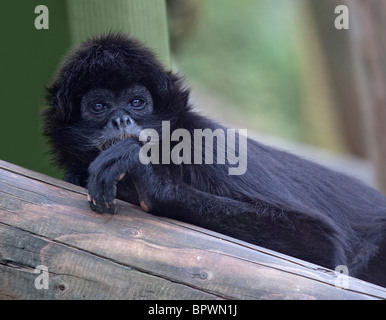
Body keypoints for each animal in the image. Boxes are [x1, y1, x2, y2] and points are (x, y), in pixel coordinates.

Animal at [43, 33, 386, 288]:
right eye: (99, 106)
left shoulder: (204, 144)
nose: (120, 120)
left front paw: (149, 179)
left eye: (136, 102)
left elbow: (324, 247)